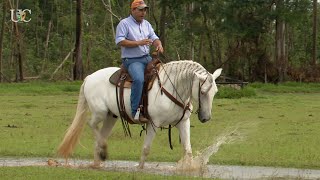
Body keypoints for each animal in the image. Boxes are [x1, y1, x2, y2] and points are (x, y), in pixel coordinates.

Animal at [57, 60, 221, 169]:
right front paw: (140, 168)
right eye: (202, 92)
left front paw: (190, 168)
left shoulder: (183, 122)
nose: (206, 118)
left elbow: (188, 149)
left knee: (101, 133)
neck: (171, 88)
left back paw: (99, 159)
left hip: (111, 117)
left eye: (215, 92)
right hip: (100, 112)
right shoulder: (153, 123)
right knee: (91, 124)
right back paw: (102, 153)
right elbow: (146, 148)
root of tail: (89, 77)